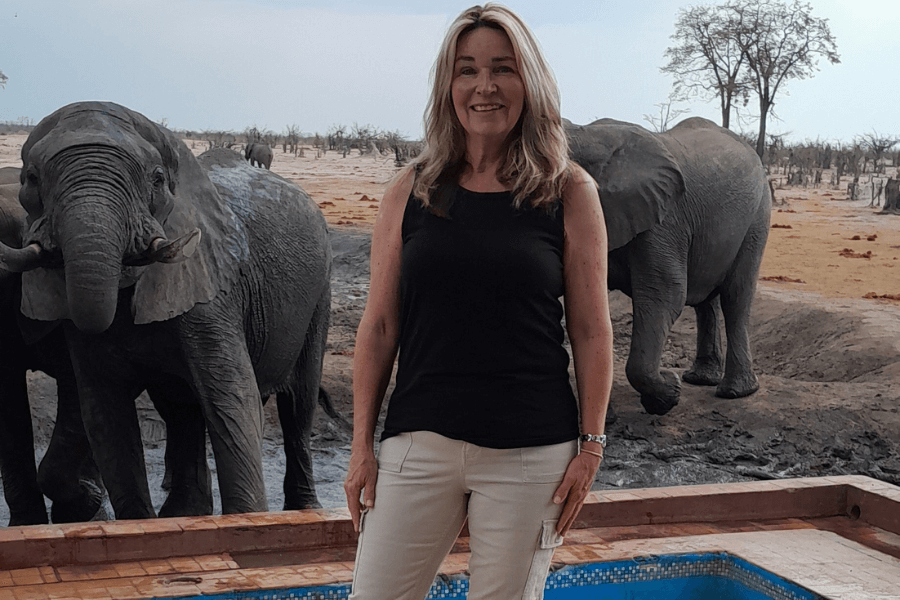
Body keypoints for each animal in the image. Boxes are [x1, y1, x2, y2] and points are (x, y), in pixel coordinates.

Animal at [0, 101, 332, 519]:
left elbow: (232, 402)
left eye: (157, 180)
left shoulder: (211, 283)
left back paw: (304, 510)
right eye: (31, 179)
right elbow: (105, 413)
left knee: (298, 406)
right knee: (182, 410)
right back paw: (184, 513)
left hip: (320, 294)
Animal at [567, 116, 771, 416]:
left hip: (757, 215)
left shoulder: (663, 221)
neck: (587, 135)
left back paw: (734, 392)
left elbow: (664, 295)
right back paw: (699, 379)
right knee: (706, 301)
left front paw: (668, 394)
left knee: (735, 296)